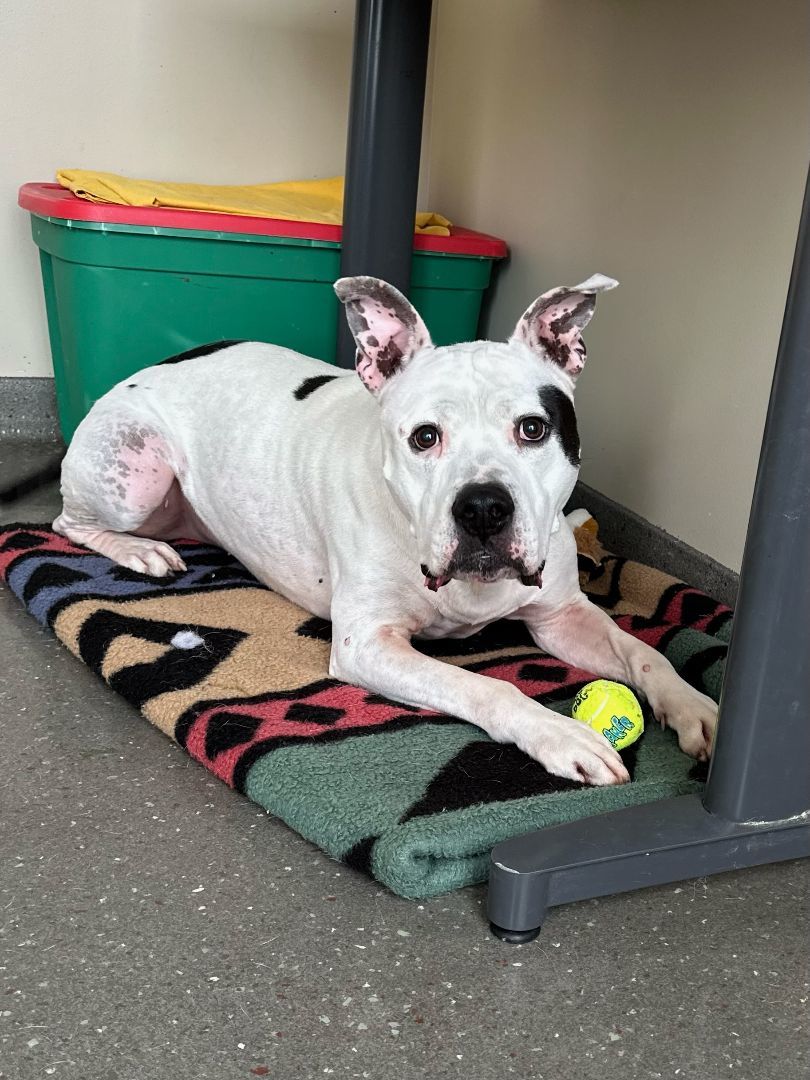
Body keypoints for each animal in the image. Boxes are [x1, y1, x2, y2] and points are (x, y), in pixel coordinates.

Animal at [54, 274, 721, 781]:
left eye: (533, 429)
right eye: (425, 437)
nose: (483, 507)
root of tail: (165, 359)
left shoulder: (563, 617)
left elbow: (645, 653)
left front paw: (694, 707)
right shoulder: (366, 644)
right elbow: (487, 688)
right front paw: (561, 735)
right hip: (135, 473)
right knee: (68, 520)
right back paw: (141, 554)